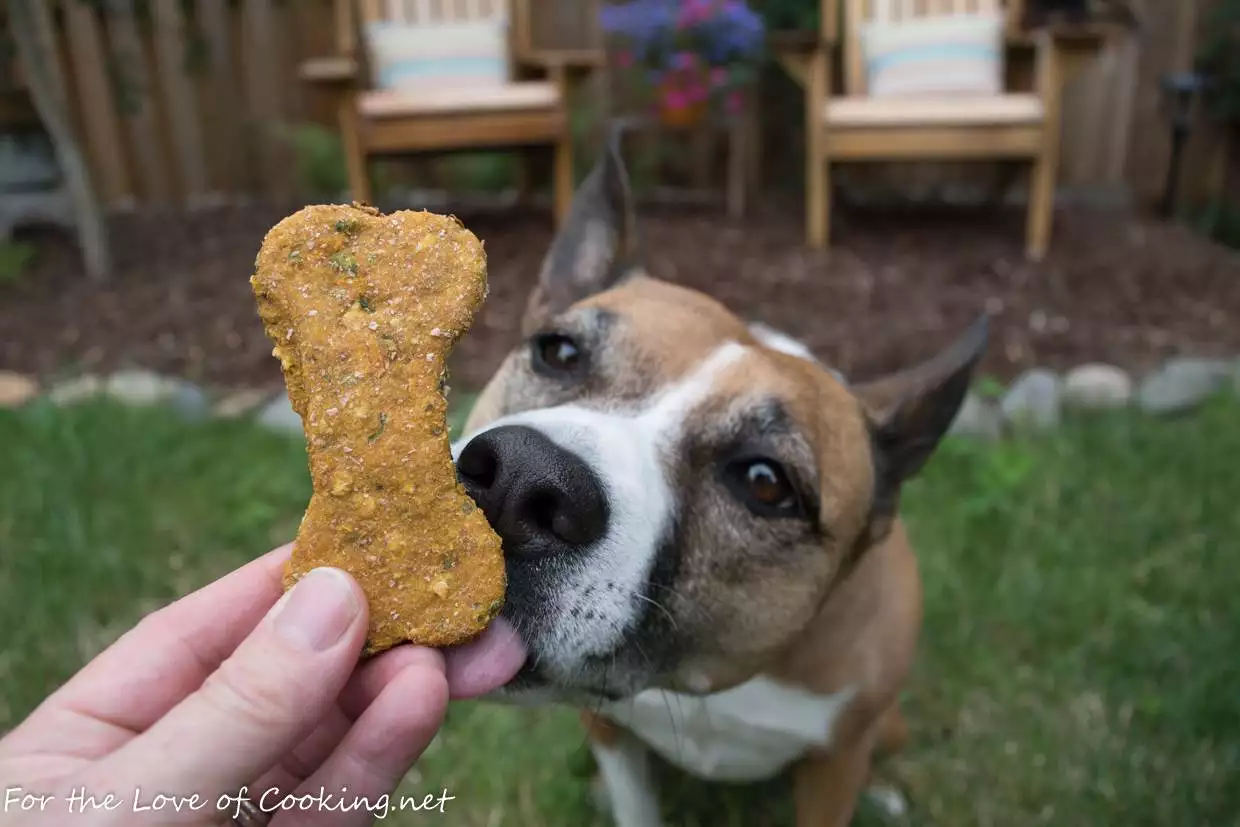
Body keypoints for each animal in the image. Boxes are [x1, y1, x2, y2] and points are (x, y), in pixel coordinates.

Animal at [448, 138, 987, 823]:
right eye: (558, 352)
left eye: (764, 482)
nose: (517, 480)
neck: (699, 680)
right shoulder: (607, 730)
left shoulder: (835, 765)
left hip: (888, 726)